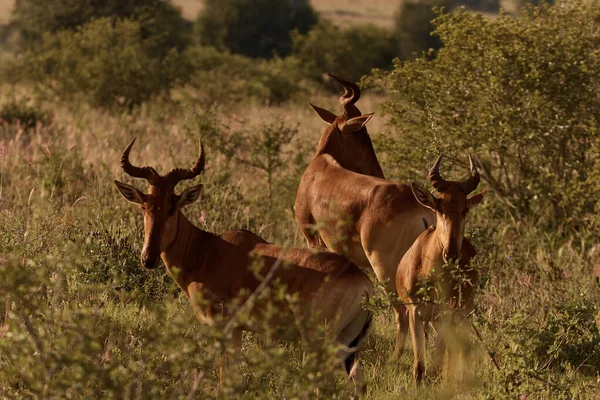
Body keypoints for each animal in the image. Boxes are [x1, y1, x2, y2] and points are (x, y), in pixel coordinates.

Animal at [114, 138, 372, 394]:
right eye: (145, 206)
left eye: (172, 207)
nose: (148, 258)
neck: (209, 250)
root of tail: (361, 281)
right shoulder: (237, 330)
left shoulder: (224, 327)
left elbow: (224, 379)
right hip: (348, 342)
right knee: (358, 383)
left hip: (317, 340)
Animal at [396, 155, 486, 382]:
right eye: (439, 207)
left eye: (465, 209)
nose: (452, 254)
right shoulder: (415, 313)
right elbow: (420, 367)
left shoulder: (446, 314)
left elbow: (436, 365)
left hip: (463, 312)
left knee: (461, 350)